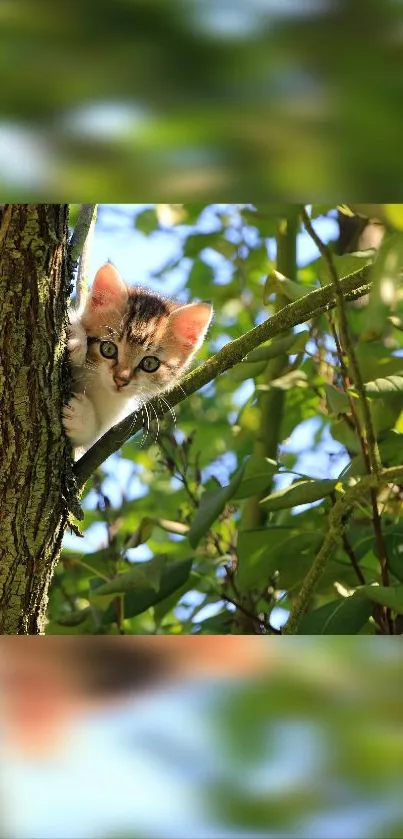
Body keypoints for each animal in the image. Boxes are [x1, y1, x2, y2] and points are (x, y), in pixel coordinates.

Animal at [63, 266, 213, 456]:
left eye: (149, 364)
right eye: (108, 349)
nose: (120, 380)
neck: (97, 384)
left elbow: (91, 441)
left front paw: (81, 418)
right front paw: (76, 337)